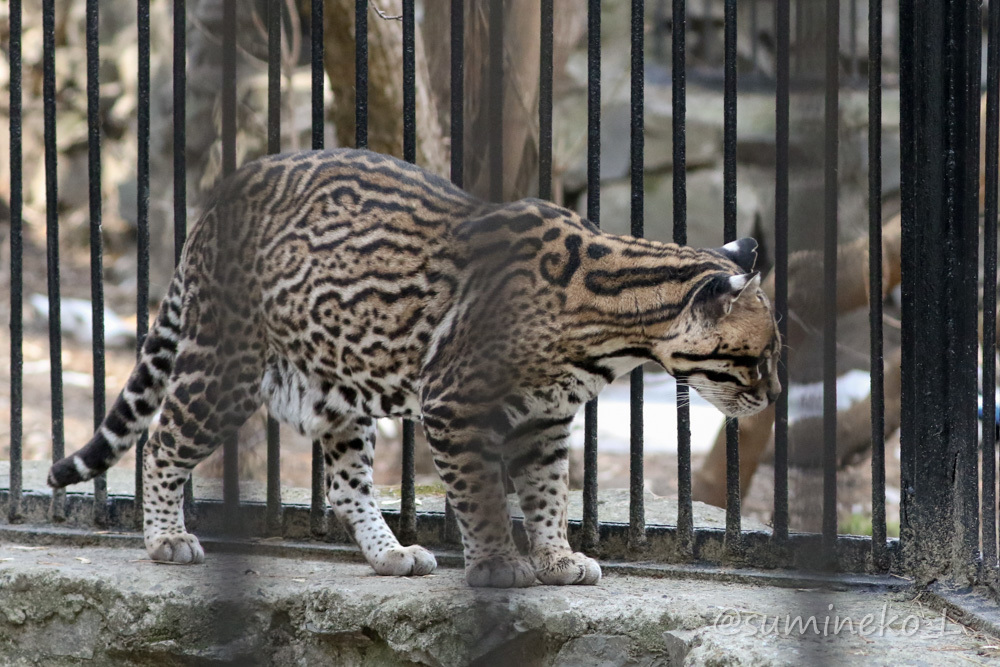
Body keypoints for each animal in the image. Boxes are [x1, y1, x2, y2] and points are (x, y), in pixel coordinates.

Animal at [47, 147, 780, 588]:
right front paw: (499, 564)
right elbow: (482, 498)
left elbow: (546, 494)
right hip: (226, 367)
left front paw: (554, 556)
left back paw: (389, 552)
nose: (774, 395)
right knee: (162, 440)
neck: (615, 327)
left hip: (336, 388)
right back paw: (166, 537)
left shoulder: (545, 422)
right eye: (760, 355)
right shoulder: (455, 403)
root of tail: (211, 209)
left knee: (345, 485)